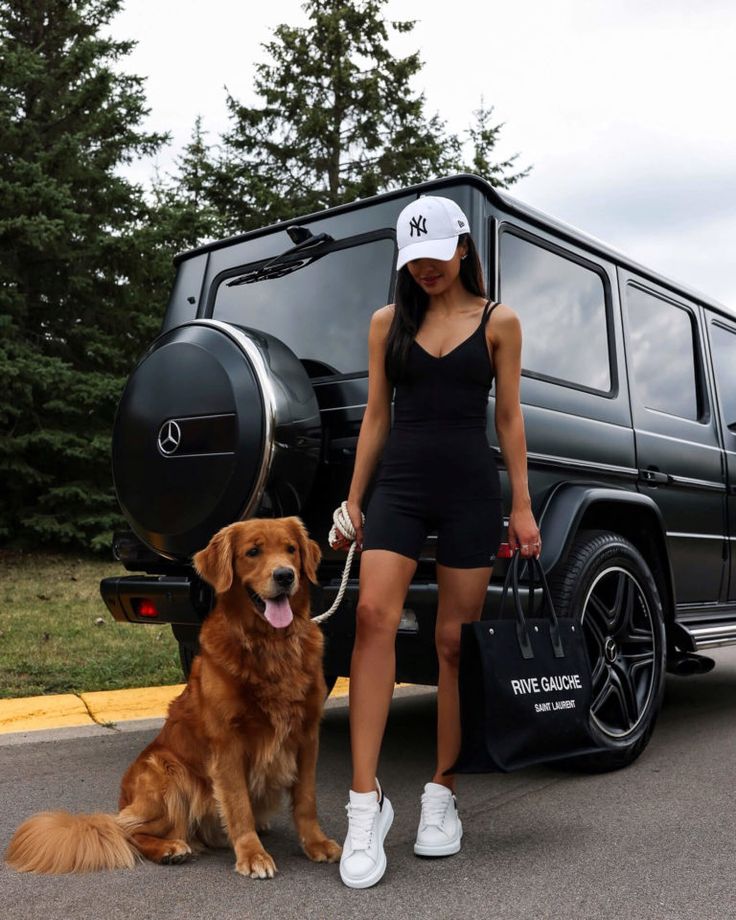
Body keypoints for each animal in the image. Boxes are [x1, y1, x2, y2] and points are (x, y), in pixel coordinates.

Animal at [5, 516, 340, 876]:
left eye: (291, 549)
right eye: (253, 552)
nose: (285, 575)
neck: (271, 646)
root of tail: (122, 802)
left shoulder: (306, 735)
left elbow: (306, 800)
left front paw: (316, 843)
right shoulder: (228, 743)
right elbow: (238, 805)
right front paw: (252, 854)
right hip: (169, 773)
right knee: (129, 833)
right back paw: (169, 848)